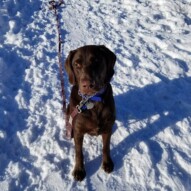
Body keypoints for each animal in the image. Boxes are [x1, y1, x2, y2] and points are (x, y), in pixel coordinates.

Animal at [64, 44, 116, 181]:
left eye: (96, 61)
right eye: (77, 64)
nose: (87, 84)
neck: (92, 100)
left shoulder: (107, 128)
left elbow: (106, 147)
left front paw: (107, 163)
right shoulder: (78, 130)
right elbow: (79, 152)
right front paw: (79, 170)